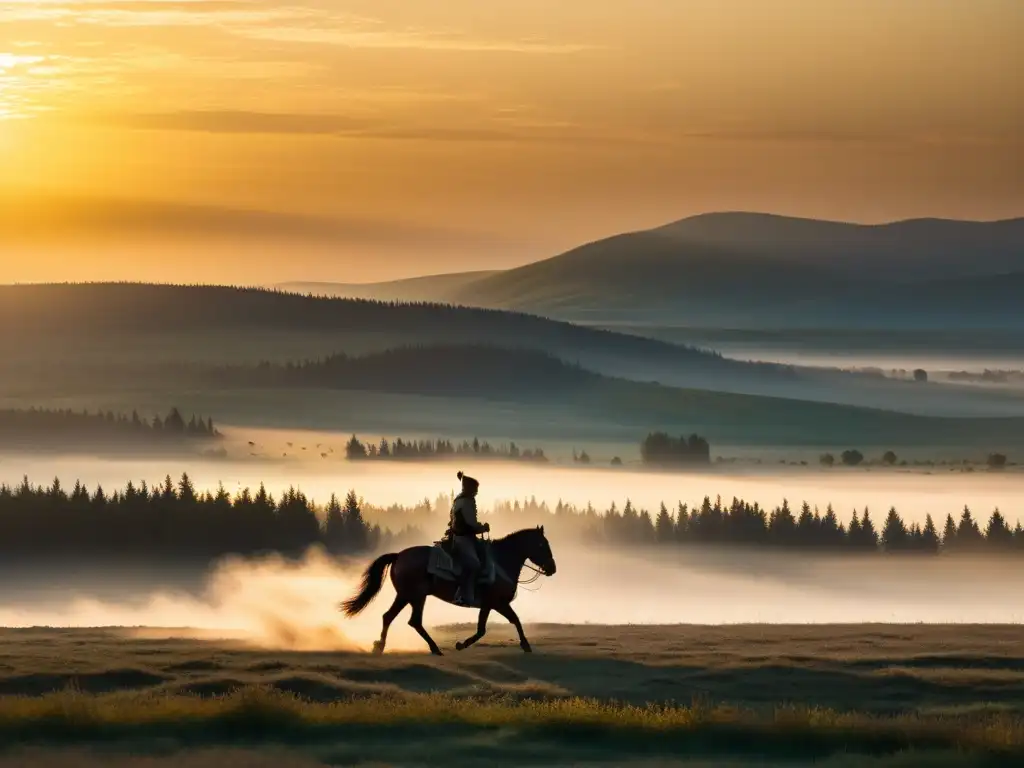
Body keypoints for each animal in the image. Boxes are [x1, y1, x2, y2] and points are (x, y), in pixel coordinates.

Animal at [339, 528, 557, 655]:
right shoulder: (497, 603)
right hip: (416, 596)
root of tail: (399, 555)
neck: (501, 561)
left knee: (389, 616)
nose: (552, 568)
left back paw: (380, 646)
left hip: (405, 596)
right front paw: (526, 645)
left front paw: (461, 644)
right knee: (413, 621)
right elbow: (513, 621)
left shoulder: (489, 605)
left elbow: (484, 628)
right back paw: (434, 648)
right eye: (542, 544)